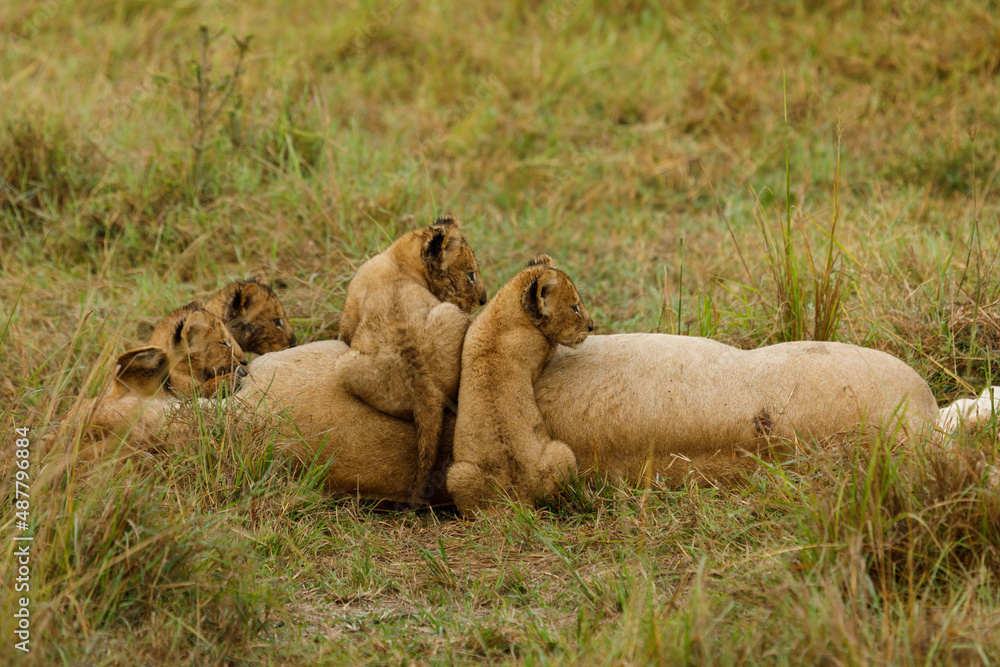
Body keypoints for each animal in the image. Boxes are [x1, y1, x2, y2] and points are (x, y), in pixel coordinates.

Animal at [335, 214, 487, 503]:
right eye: (471, 274)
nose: (484, 299)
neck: (400, 261)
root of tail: (424, 386)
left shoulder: (348, 320)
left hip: (344, 363)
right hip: (450, 314)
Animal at [445, 255, 594, 515]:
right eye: (575, 307)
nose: (592, 326)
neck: (503, 315)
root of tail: (517, 498)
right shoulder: (543, 350)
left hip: (457, 475)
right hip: (562, 451)